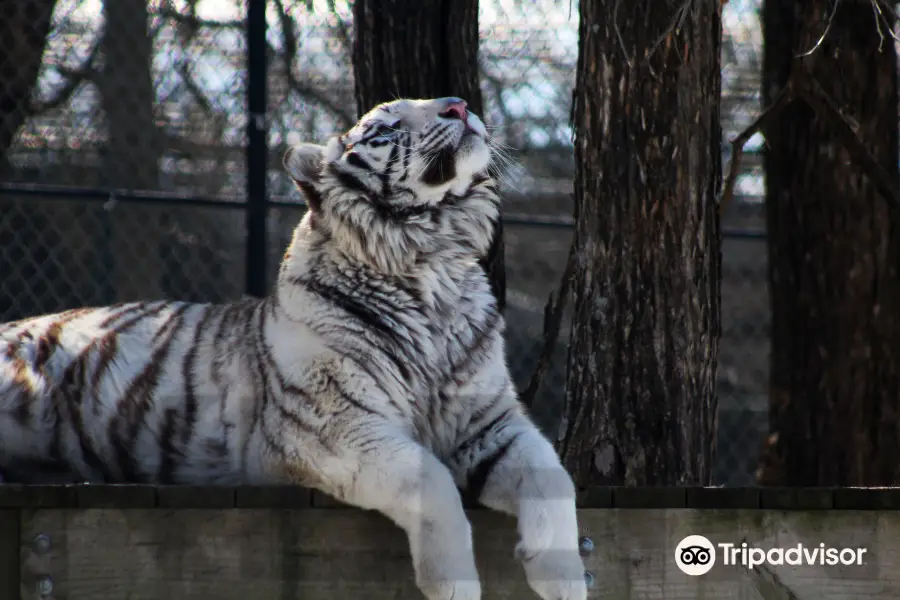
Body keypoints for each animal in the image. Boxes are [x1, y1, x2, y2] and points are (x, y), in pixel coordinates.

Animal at [0, 98, 588, 600]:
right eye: (387, 126)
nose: (461, 106)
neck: (432, 264)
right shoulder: (334, 429)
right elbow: (432, 480)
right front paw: (455, 584)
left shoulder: (488, 423)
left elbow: (555, 478)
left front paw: (566, 579)